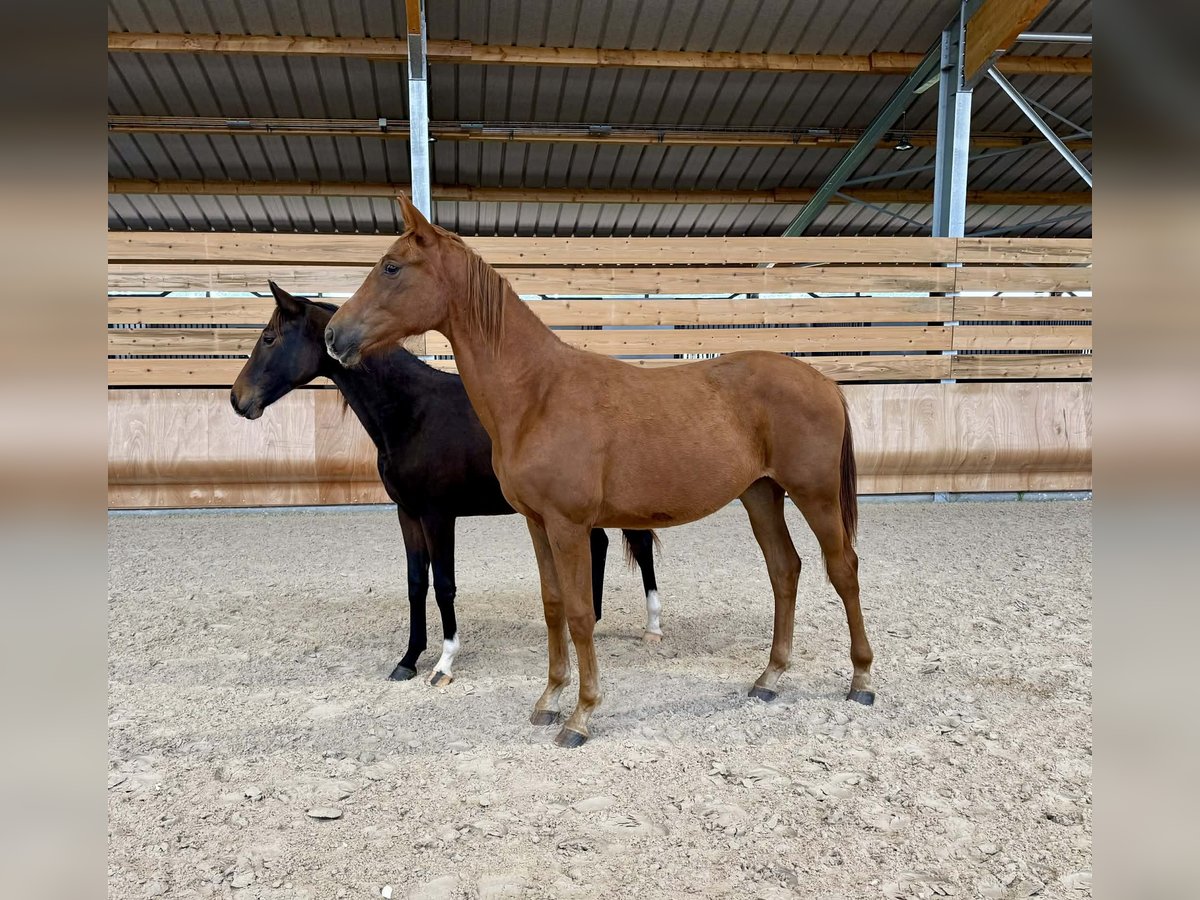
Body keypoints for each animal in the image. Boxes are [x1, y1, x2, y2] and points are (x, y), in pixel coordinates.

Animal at [231, 281, 663, 686]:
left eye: (268, 338)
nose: (237, 399)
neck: (412, 412)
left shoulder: (438, 515)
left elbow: (443, 584)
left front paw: (444, 662)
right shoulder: (408, 513)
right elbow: (416, 582)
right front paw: (408, 659)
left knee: (640, 546)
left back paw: (652, 628)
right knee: (600, 544)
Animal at [324, 196, 874, 747]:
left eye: (391, 267)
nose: (333, 334)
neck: (538, 394)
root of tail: (822, 381)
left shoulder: (569, 526)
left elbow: (580, 612)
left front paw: (581, 714)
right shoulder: (537, 524)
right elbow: (552, 607)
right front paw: (548, 700)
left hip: (815, 494)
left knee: (843, 569)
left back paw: (862, 680)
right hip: (761, 494)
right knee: (785, 570)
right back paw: (769, 678)